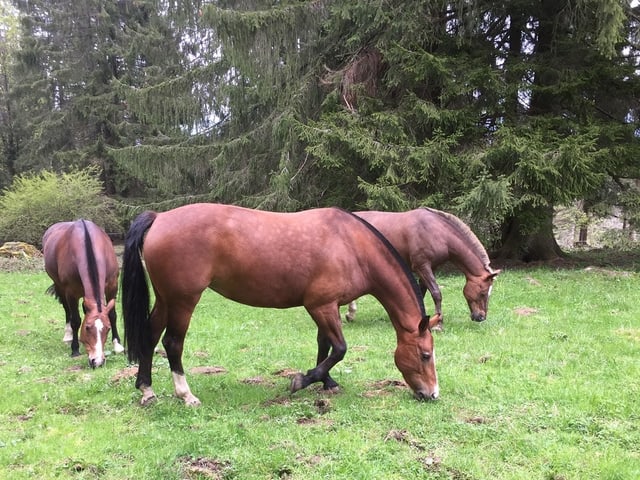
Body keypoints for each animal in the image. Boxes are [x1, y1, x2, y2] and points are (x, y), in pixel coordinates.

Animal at [42, 221, 124, 368]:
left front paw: (117, 345)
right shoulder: (71, 293)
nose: (97, 361)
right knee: (67, 310)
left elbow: (112, 315)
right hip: (60, 287)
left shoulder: (112, 286)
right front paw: (75, 349)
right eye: (87, 328)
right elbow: (75, 320)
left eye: (108, 329)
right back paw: (68, 335)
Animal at [120, 202, 440, 404]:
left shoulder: (328, 306)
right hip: (183, 301)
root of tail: (160, 217)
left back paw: (146, 389)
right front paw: (303, 380)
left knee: (150, 337)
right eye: (425, 355)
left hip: (166, 299)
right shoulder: (321, 306)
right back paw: (185, 395)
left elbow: (324, 345)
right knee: (172, 343)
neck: (351, 245)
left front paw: (326, 382)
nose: (432, 394)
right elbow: (339, 349)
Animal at [344, 208, 500, 328]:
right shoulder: (422, 266)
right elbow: (436, 293)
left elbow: (421, 292)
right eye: (483, 292)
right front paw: (438, 324)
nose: (481, 317)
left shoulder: (430, 268)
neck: (437, 232)